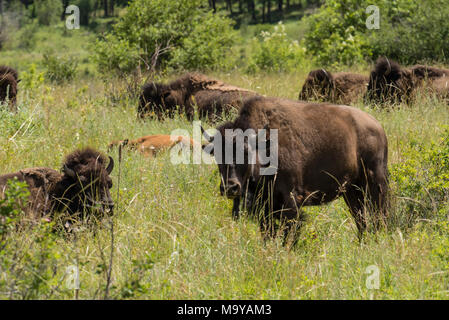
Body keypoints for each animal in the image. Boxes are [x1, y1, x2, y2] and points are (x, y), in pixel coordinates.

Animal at [202, 96, 388, 244]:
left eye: (246, 151)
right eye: (216, 154)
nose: (230, 187)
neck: (264, 145)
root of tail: (378, 127)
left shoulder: (291, 199)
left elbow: (290, 231)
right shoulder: (265, 205)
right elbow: (268, 232)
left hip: (374, 184)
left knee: (379, 215)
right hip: (351, 191)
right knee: (361, 218)